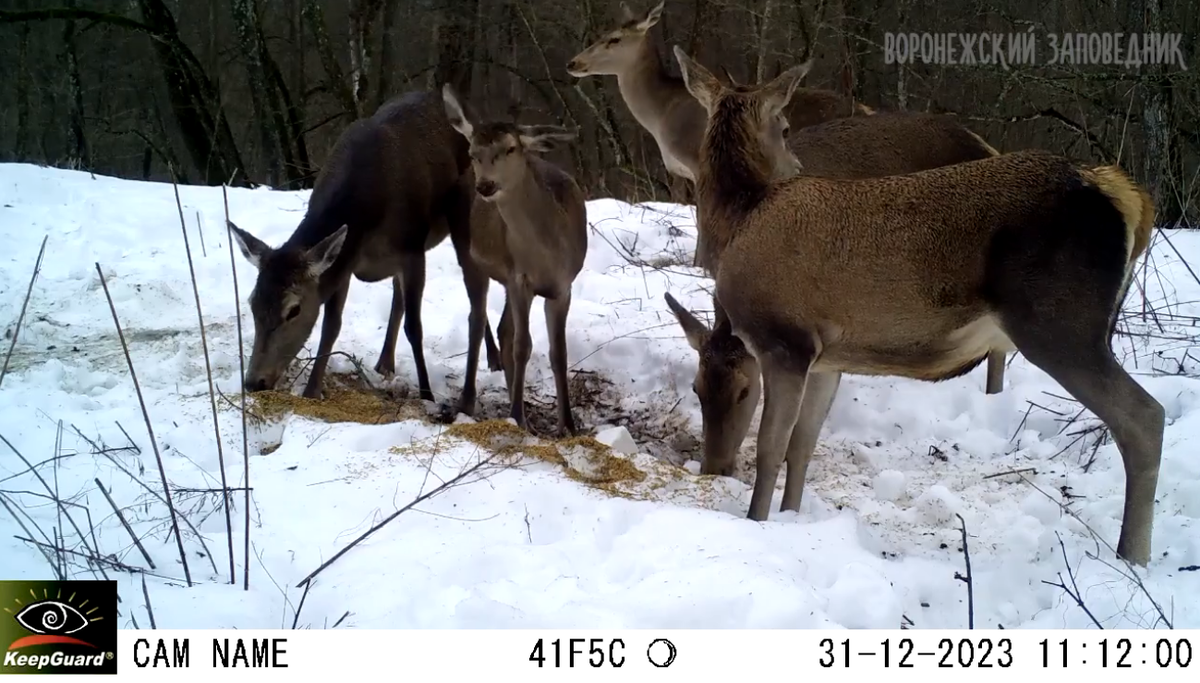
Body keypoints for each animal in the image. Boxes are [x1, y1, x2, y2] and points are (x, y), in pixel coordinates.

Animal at [229, 87, 496, 417]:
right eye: (252, 302)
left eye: (293, 309)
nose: (254, 381)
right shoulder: (344, 261)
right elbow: (331, 326)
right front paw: (311, 390)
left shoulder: (412, 249)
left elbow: (415, 327)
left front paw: (427, 394)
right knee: (404, 298)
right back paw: (386, 363)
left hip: (463, 216)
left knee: (475, 292)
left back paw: (487, 368)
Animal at [441, 86, 590, 436]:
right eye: (473, 152)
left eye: (510, 148)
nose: (485, 185)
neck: (548, 253)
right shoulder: (520, 279)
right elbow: (523, 346)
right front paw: (517, 418)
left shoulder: (562, 286)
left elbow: (558, 353)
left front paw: (567, 425)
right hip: (469, 256)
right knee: (477, 319)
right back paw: (468, 402)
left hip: (507, 279)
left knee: (502, 328)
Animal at [667, 46, 1161, 564]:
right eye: (696, 389)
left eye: (744, 392)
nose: (713, 467)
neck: (742, 218)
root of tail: (1127, 195)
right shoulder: (826, 357)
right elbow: (802, 445)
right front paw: (792, 520)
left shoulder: (784, 340)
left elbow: (769, 448)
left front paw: (757, 523)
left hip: (1060, 322)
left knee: (1145, 417)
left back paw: (1133, 555)